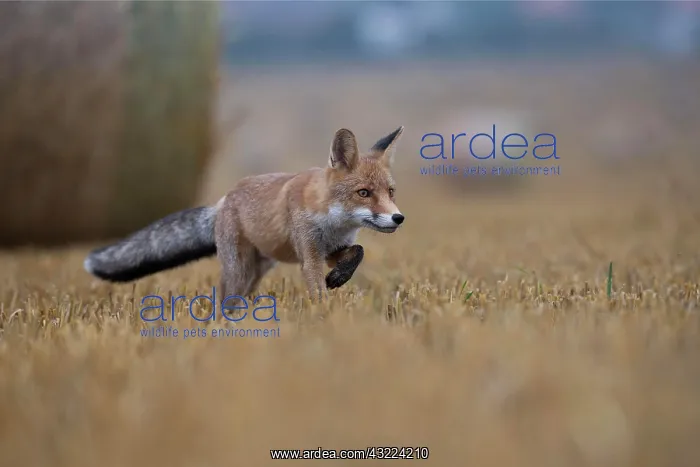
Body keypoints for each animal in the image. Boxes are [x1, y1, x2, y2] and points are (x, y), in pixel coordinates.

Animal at [84, 126, 406, 301]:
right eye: (363, 193)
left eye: (390, 192)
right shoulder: (310, 253)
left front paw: (339, 277)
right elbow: (317, 289)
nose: (398, 218)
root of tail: (224, 199)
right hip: (238, 270)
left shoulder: (332, 249)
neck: (334, 221)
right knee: (224, 298)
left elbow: (358, 251)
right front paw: (323, 313)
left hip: (256, 271)